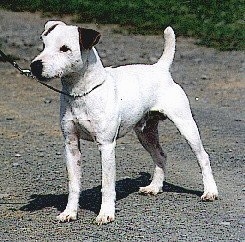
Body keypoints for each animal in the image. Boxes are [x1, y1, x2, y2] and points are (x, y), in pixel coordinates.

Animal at [31, 21, 218, 225]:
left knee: (203, 157)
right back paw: (154, 187)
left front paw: (105, 214)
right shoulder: (71, 144)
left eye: (65, 48)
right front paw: (69, 213)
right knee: (161, 156)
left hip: (186, 126)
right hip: (145, 134)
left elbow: (107, 185)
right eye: (44, 45)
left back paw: (210, 191)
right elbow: (74, 184)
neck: (82, 93)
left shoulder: (106, 146)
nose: (35, 66)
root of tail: (160, 69)